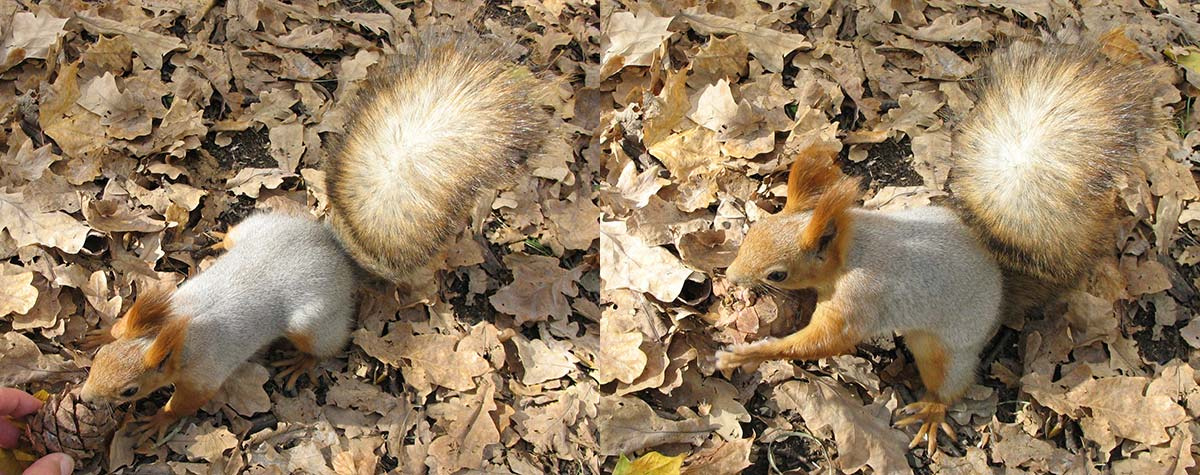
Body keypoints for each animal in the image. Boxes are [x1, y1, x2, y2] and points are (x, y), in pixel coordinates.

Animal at [79, 39, 547, 443]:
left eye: (129, 391)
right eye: (100, 363)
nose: (84, 398)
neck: (177, 331)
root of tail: (334, 250)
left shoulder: (205, 372)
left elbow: (188, 401)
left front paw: (156, 421)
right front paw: (101, 332)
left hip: (312, 320)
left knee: (326, 343)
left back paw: (300, 361)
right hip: (258, 227)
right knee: (237, 236)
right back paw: (217, 239)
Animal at [714, 39, 1160, 453]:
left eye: (778, 274)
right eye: (753, 232)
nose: (731, 276)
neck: (851, 249)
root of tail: (1001, 288)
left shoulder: (860, 299)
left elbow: (823, 342)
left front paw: (747, 354)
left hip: (946, 348)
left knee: (950, 384)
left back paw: (931, 410)